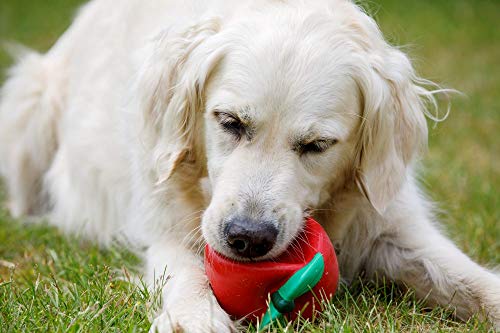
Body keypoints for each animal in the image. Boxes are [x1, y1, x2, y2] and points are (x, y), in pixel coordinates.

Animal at [0, 0, 500, 330]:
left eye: (318, 145)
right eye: (230, 122)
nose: (247, 238)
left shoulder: (391, 224)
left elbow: (474, 282)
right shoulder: (165, 224)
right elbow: (186, 273)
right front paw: (197, 318)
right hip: (29, 106)